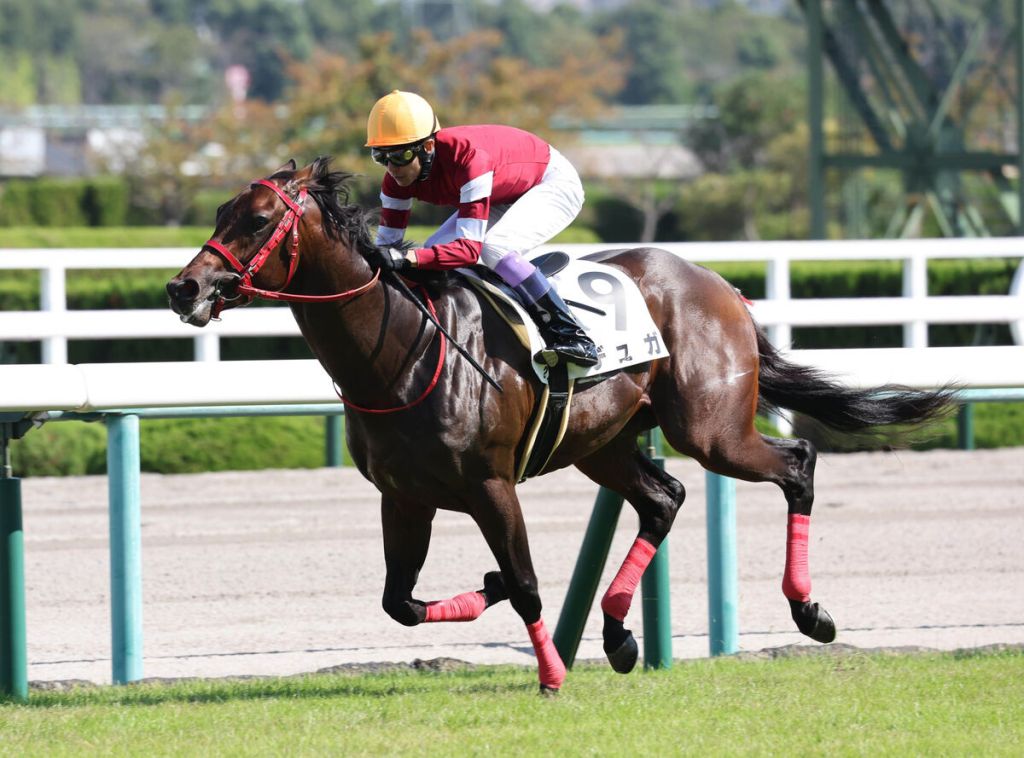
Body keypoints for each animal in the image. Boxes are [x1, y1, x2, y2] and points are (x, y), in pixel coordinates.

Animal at [167, 157, 955, 692]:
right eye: (220, 209)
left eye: (257, 219)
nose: (184, 287)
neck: (403, 350)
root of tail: (719, 283)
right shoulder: (404, 495)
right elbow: (402, 603)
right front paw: (488, 590)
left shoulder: (490, 484)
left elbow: (526, 582)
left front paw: (550, 673)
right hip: (603, 443)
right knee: (664, 499)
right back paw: (618, 634)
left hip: (711, 432)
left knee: (795, 463)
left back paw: (809, 612)